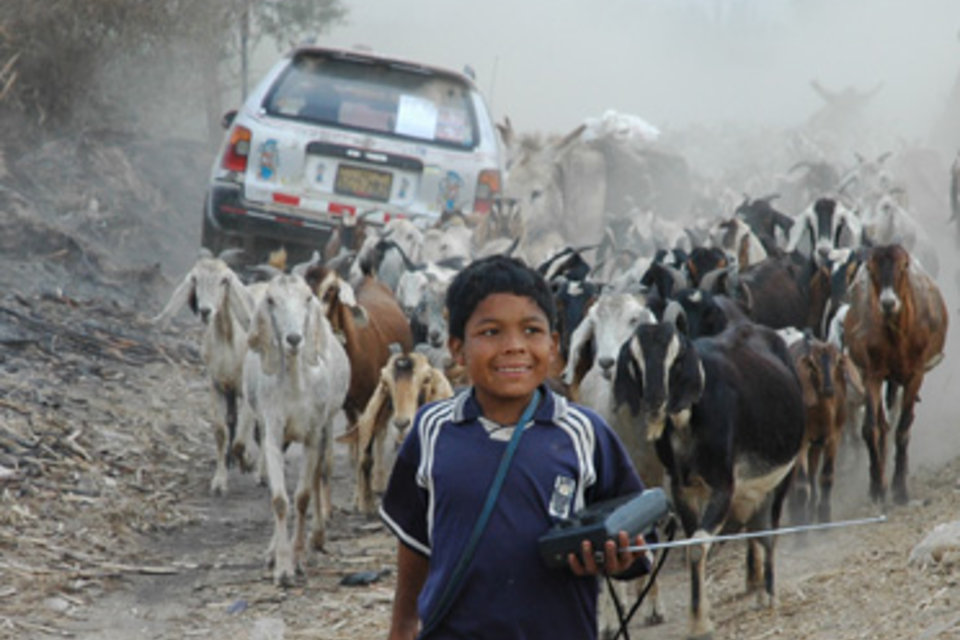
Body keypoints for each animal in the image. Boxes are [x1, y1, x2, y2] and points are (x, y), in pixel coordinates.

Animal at [152, 250, 255, 496]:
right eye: (195, 279)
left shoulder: (247, 389)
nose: (205, 311)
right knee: (233, 422)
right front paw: (219, 481)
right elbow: (221, 431)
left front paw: (248, 462)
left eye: (224, 280)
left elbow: (242, 437)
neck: (229, 344)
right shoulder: (216, 385)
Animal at [242, 274, 350, 584]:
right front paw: (282, 567)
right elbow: (279, 500)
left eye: (307, 298)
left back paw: (317, 538)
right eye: (271, 300)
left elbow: (302, 497)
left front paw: (299, 558)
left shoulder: (314, 432)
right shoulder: (273, 429)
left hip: (326, 425)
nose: (293, 339)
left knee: (318, 476)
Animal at [844, 245, 948, 504]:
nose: (888, 303)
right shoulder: (872, 374)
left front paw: (900, 489)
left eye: (903, 267)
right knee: (882, 422)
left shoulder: (915, 374)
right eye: (871, 269)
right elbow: (871, 427)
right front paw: (877, 486)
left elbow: (903, 428)